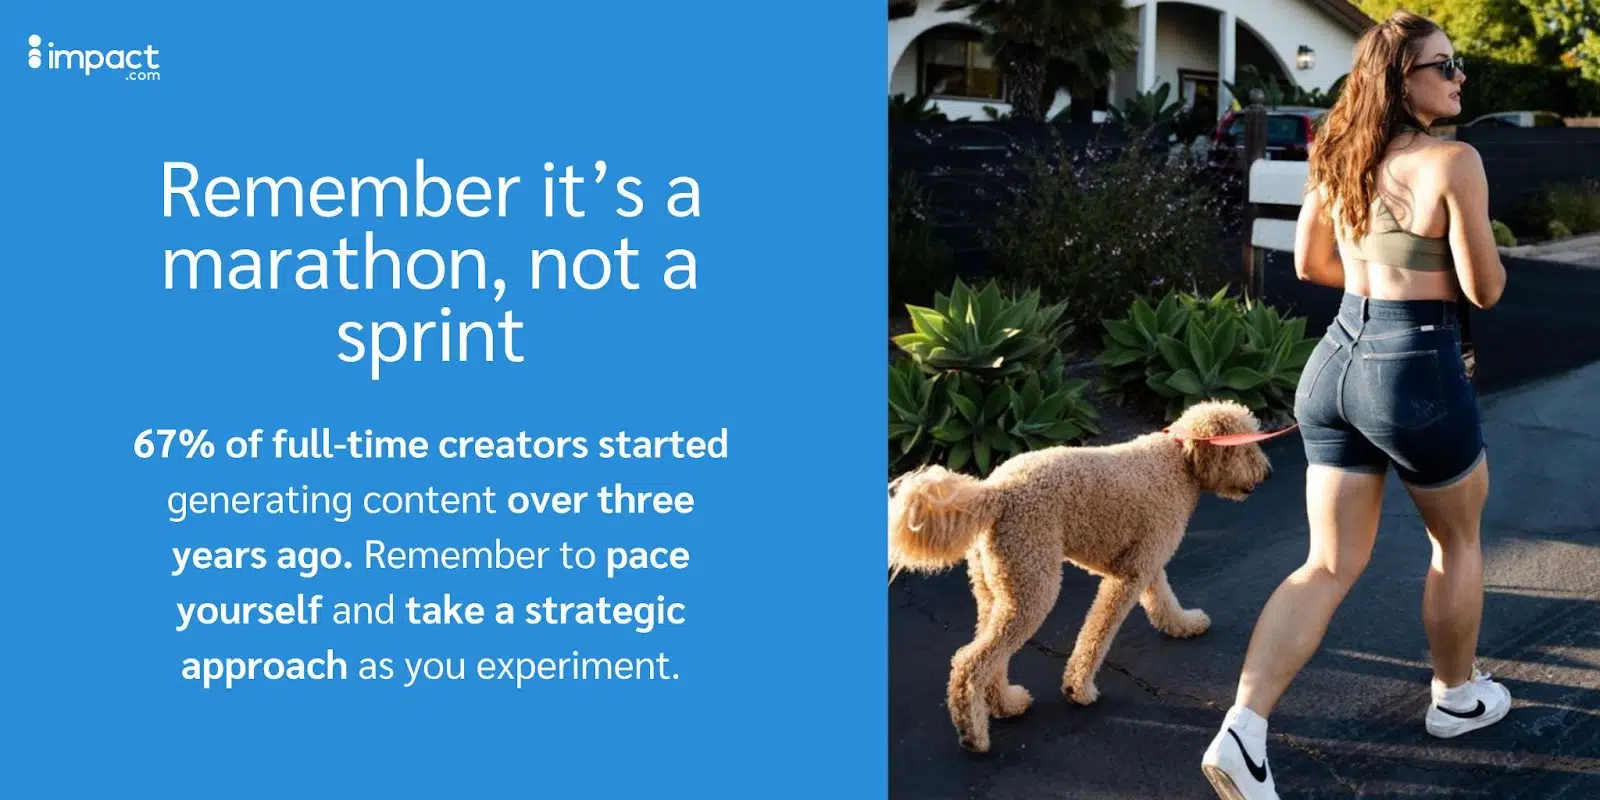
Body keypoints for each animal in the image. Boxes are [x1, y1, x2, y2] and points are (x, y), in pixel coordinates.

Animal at [889, 403, 1273, 752]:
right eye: (1247, 447)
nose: (1268, 473)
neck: (1178, 461)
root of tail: (994, 493)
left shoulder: (1147, 560)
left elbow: (1162, 598)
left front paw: (1183, 624)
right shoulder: (1130, 575)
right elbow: (1097, 634)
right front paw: (1078, 688)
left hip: (997, 587)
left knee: (989, 655)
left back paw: (1005, 705)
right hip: (1032, 584)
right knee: (970, 663)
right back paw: (974, 735)